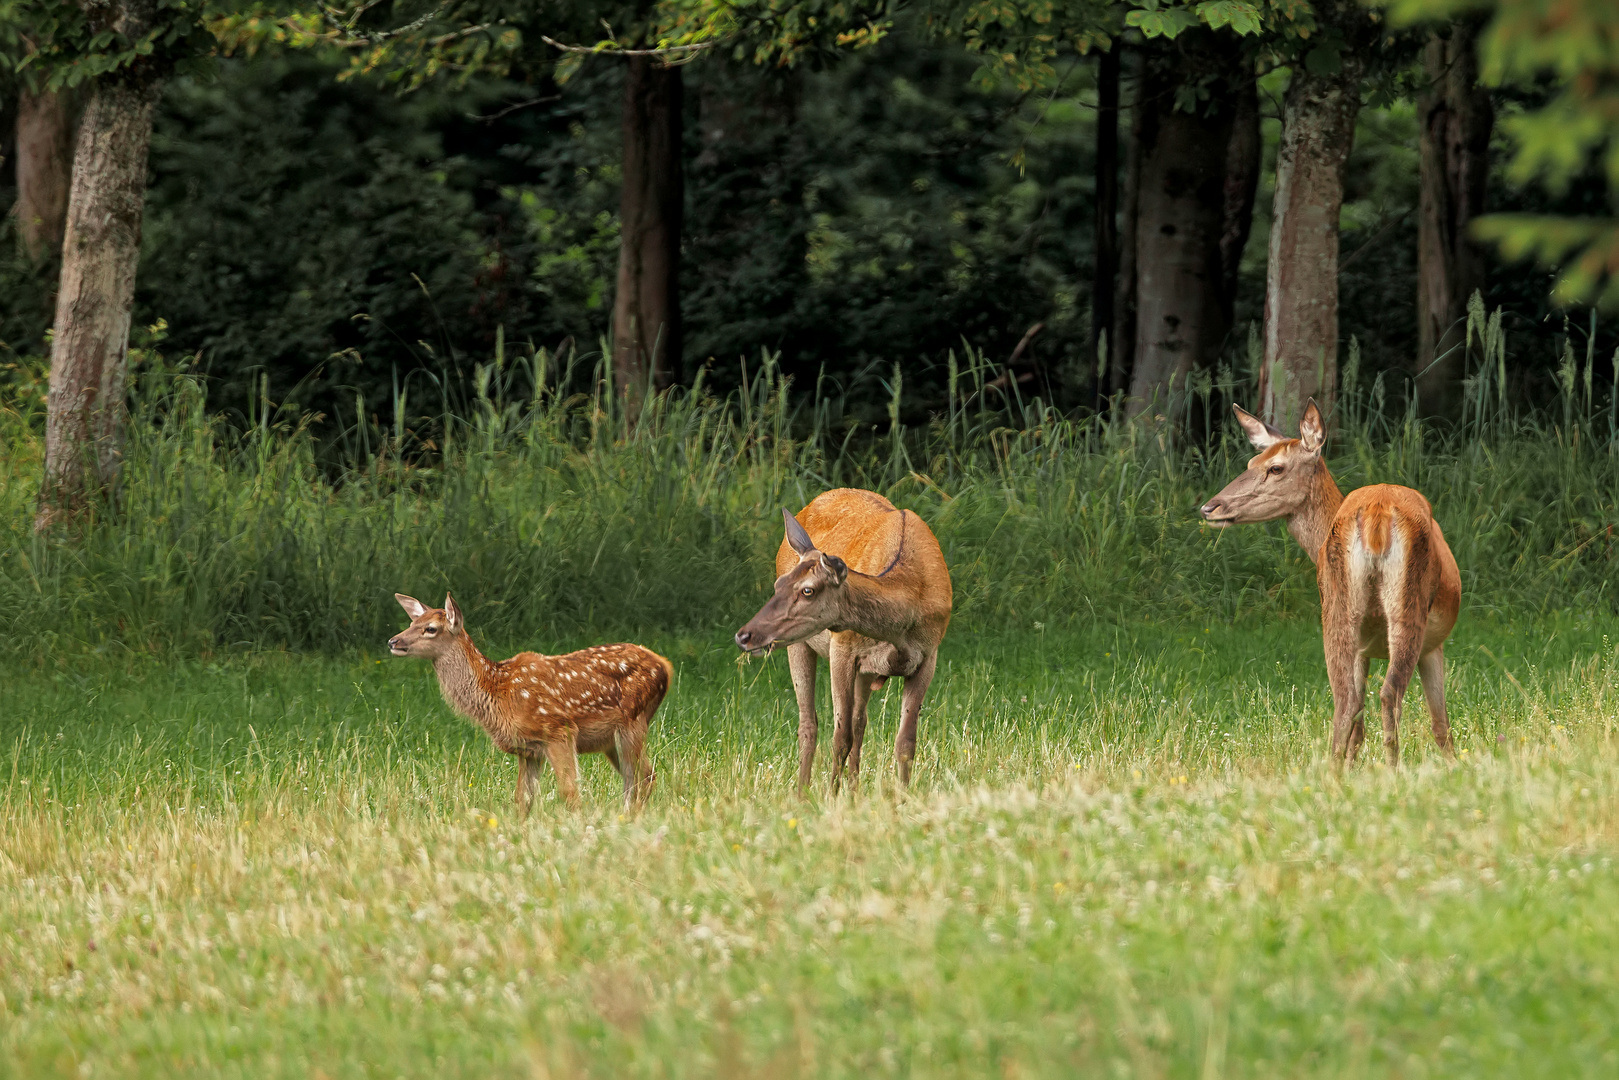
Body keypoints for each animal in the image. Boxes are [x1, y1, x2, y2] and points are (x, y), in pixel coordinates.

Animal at [391, 595, 670, 816]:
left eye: (431, 628)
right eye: (411, 623)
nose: (393, 641)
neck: (497, 693)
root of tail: (664, 666)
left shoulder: (559, 730)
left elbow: (570, 791)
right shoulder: (528, 750)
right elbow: (522, 799)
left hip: (632, 721)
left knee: (644, 776)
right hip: (611, 738)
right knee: (635, 777)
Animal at [735, 492, 945, 793]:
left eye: (807, 590)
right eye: (778, 585)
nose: (744, 635)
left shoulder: (929, 656)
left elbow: (905, 742)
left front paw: (903, 796)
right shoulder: (842, 647)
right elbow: (840, 737)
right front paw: (830, 796)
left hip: (864, 669)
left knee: (859, 721)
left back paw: (854, 792)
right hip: (799, 643)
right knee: (809, 723)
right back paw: (802, 793)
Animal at [1198, 403, 1463, 767]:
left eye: (1275, 467)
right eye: (1252, 463)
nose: (1209, 507)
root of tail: (1377, 514)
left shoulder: (1371, 647)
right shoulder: (1432, 645)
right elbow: (1440, 727)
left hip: (1339, 607)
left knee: (1345, 702)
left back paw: (1336, 772)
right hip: (1408, 604)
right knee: (1388, 695)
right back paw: (1392, 770)